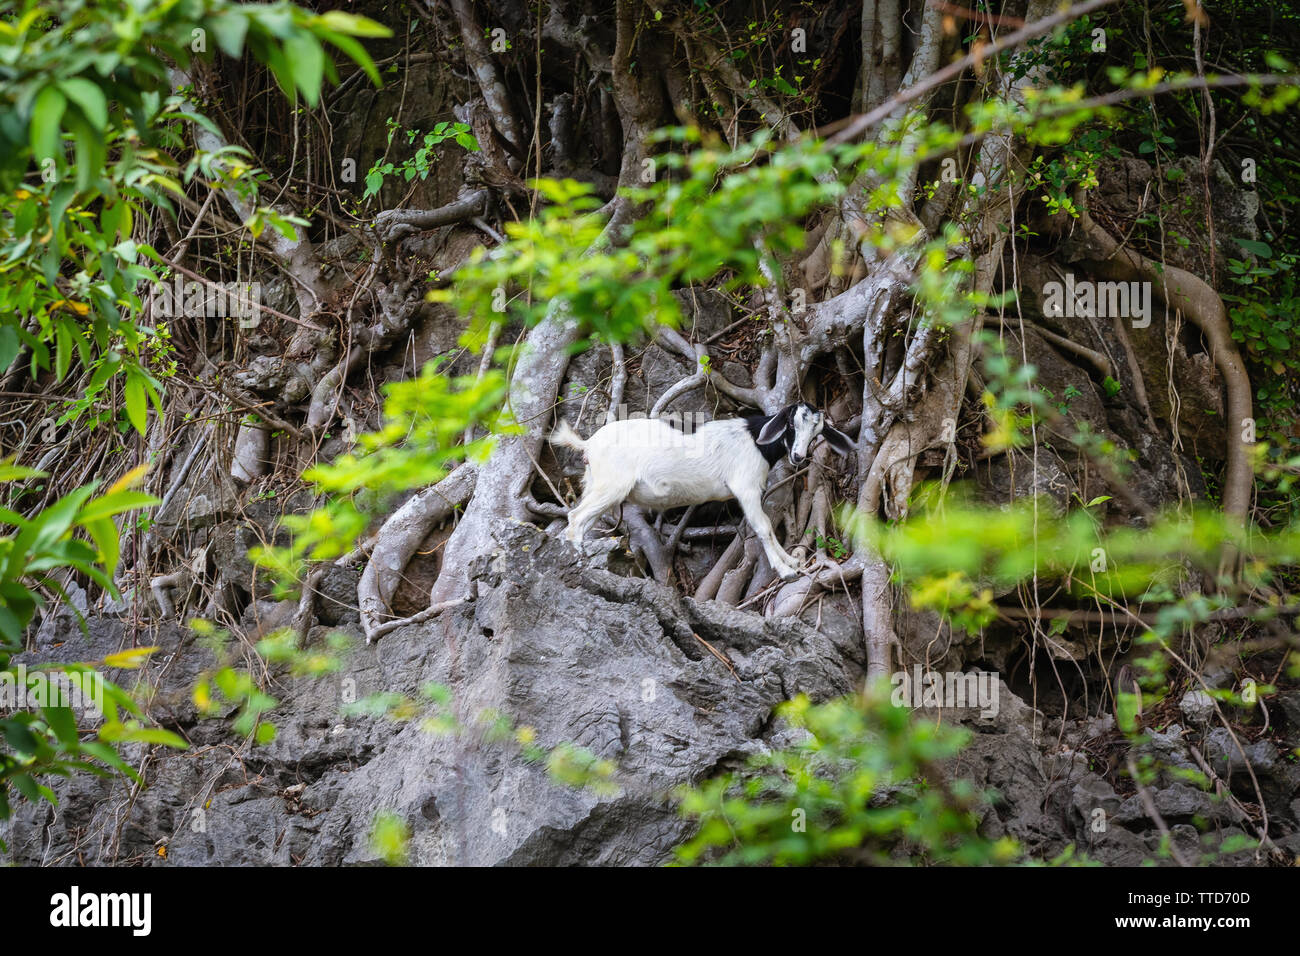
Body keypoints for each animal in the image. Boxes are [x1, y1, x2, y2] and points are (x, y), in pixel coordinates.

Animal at [548, 403, 854, 580]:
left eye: (817, 432)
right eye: (791, 423)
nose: (798, 456)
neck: (754, 439)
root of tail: (588, 444)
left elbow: (765, 525)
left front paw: (792, 560)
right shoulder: (745, 487)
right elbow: (764, 527)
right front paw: (786, 570)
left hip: (597, 484)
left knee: (581, 519)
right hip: (612, 484)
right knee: (576, 518)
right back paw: (581, 560)